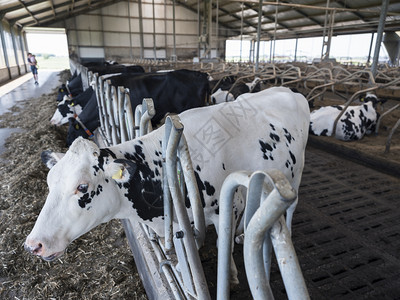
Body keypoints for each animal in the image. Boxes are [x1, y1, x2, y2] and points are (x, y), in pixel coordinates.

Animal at [25, 87, 310, 286]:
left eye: (82, 187)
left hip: (295, 172)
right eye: (50, 183)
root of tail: (289, 90)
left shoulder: (224, 208)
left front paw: (230, 275)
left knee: (291, 205)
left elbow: (223, 244)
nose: (33, 245)